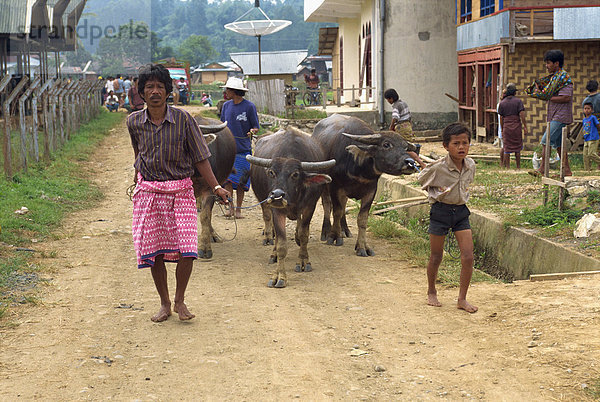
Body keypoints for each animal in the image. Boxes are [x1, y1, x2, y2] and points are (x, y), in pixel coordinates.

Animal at [246, 127, 336, 288]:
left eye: (295, 174)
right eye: (271, 172)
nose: (277, 195)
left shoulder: (309, 207)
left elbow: (304, 234)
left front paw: (303, 260)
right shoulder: (277, 210)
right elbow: (281, 243)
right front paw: (279, 276)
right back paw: (274, 253)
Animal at [310, 114, 418, 256]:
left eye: (405, 147)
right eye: (386, 144)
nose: (410, 162)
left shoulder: (371, 192)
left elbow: (362, 219)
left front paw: (362, 247)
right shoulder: (335, 187)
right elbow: (336, 211)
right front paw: (334, 236)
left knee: (343, 205)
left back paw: (345, 230)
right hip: (323, 183)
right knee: (327, 205)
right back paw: (326, 231)